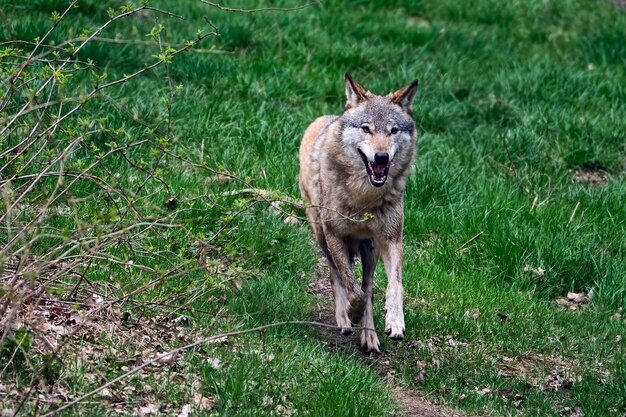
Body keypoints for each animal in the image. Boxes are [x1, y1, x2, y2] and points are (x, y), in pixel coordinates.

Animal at [298, 72, 416, 352]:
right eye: (366, 128)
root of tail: (325, 119)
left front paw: (395, 321)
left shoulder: (392, 239)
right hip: (321, 235)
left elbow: (393, 286)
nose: (381, 157)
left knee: (369, 286)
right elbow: (351, 289)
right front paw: (349, 313)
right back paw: (344, 317)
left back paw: (369, 337)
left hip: (370, 248)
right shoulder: (334, 235)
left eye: (393, 130)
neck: (364, 197)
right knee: (336, 275)